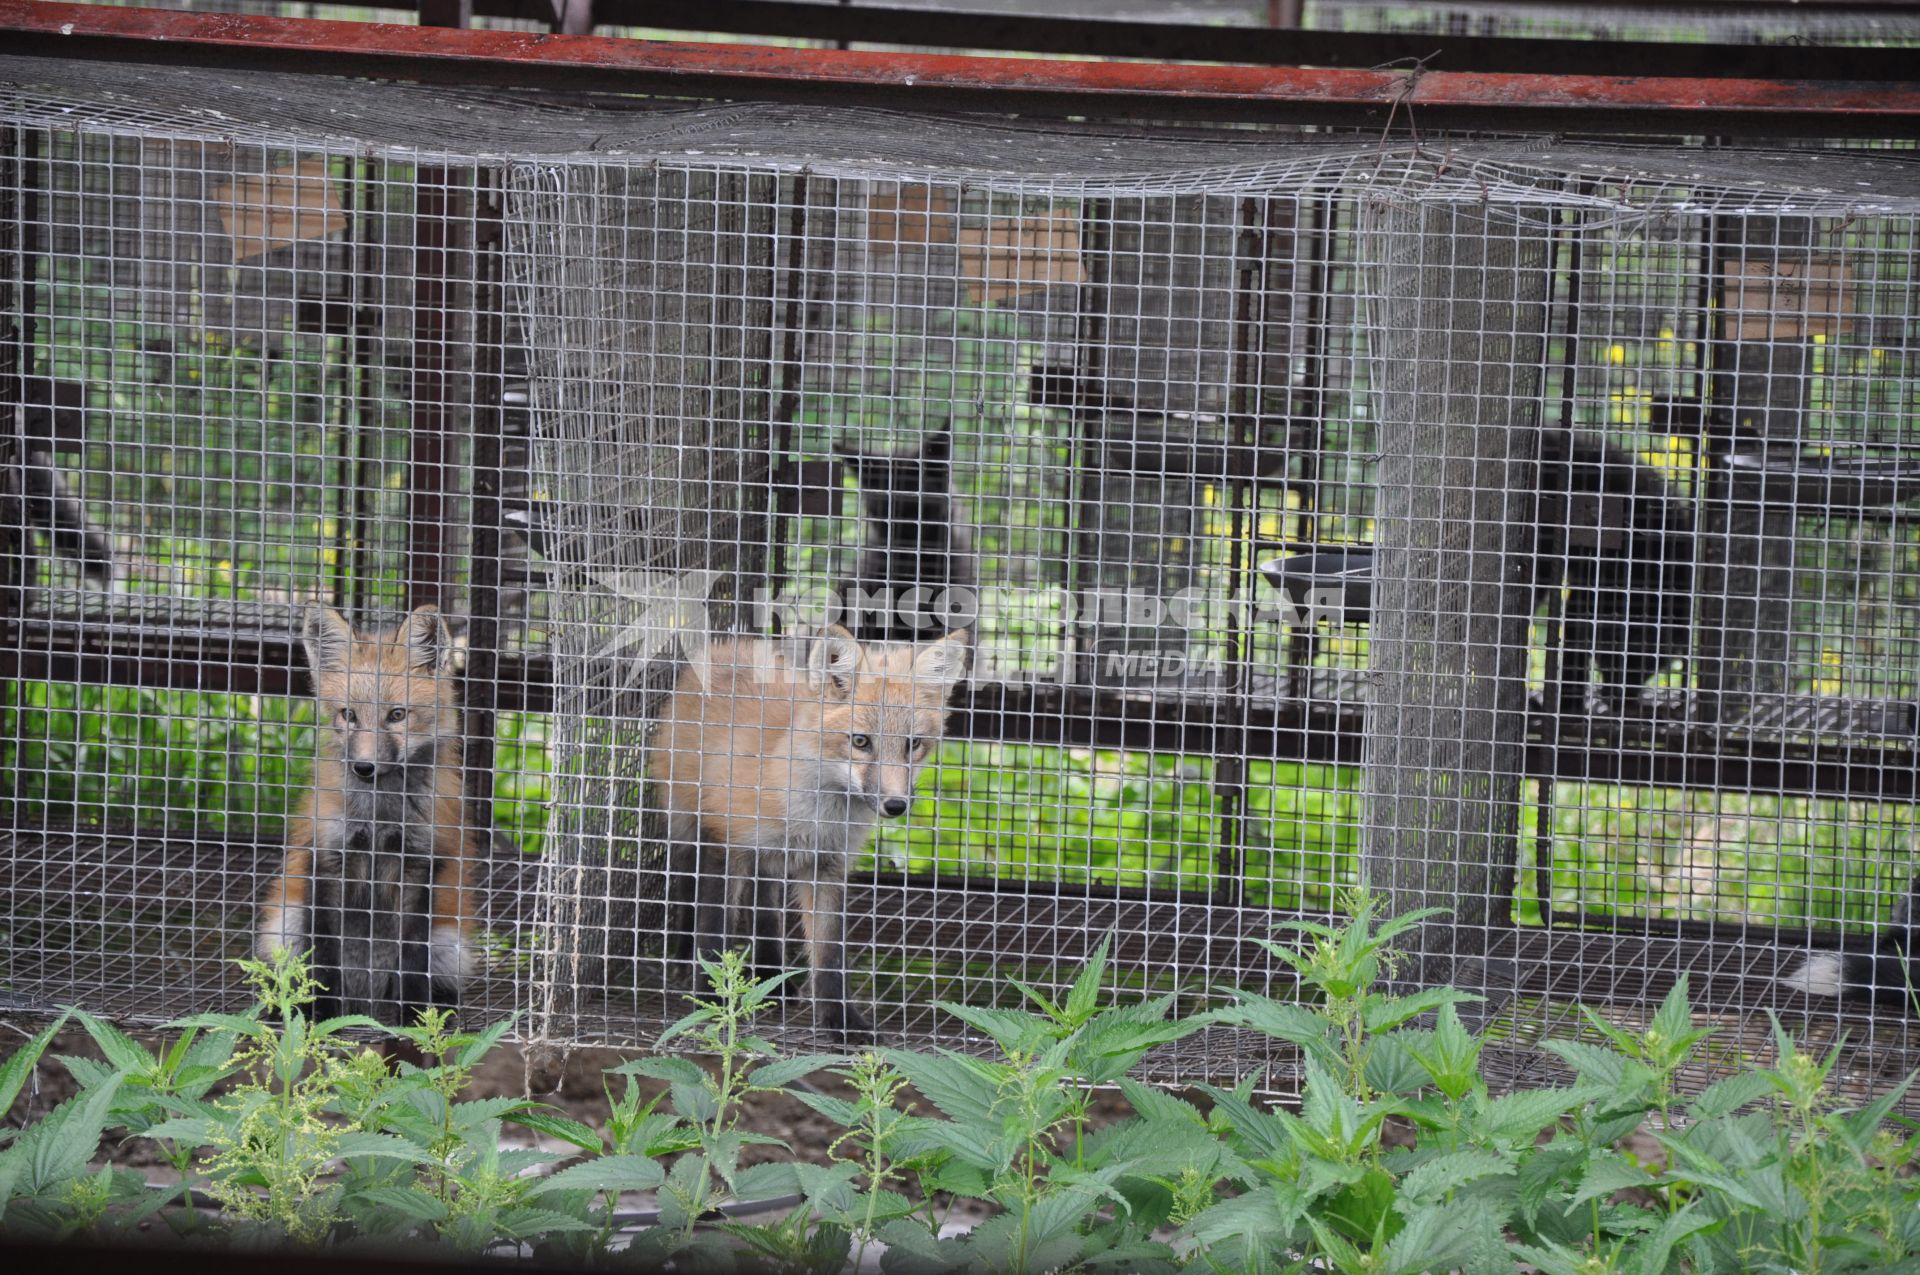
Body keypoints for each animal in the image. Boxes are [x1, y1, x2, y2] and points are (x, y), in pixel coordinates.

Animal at [253, 606, 478, 1029]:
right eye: (349, 715)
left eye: (397, 715)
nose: (364, 767)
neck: (379, 819)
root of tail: (366, 1005)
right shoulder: (327, 861)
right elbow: (323, 956)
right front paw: (321, 1014)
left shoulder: (420, 867)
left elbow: (411, 957)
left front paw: (415, 1018)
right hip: (284, 927)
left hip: (449, 945)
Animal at [652, 625, 967, 1036]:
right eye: (860, 741)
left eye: (913, 744)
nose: (895, 805)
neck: (814, 817)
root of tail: (730, 645)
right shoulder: (725, 845)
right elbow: (713, 936)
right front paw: (712, 1005)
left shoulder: (828, 866)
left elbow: (829, 955)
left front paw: (842, 1022)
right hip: (686, 827)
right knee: (688, 896)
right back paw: (683, 958)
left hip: (767, 862)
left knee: (765, 912)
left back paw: (772, 977)